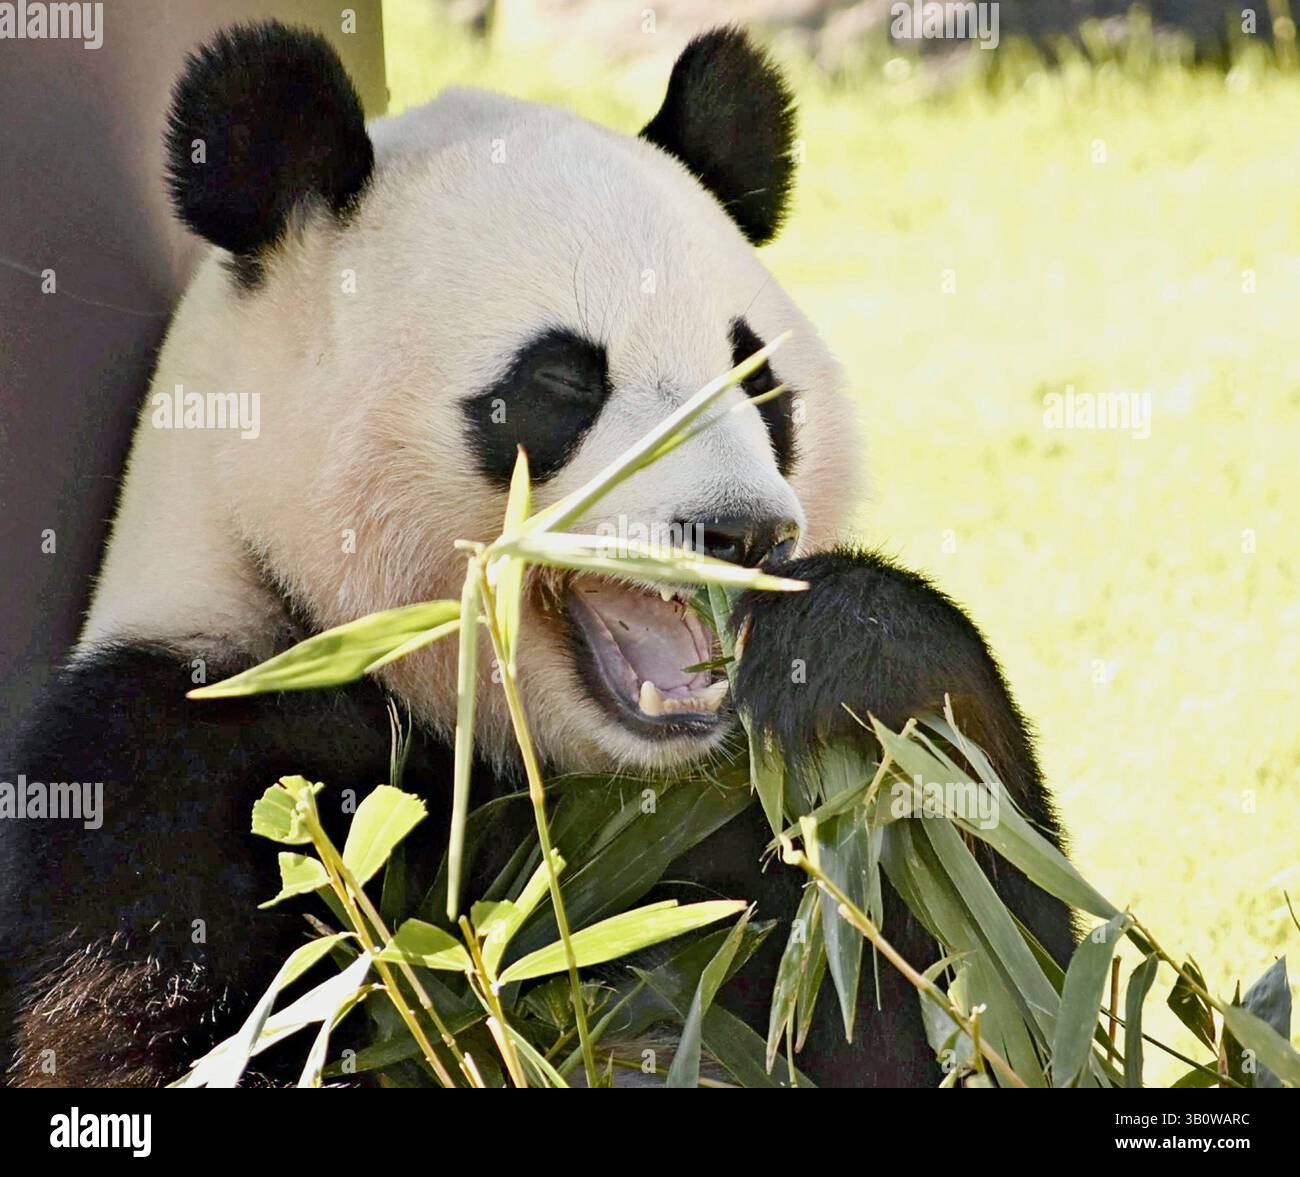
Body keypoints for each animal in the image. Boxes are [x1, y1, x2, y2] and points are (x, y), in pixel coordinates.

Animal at [0, 21, 1073, 1088]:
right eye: (560, 380)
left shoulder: (730, 818)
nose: (741, 532)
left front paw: (849, 645)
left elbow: (972, 988)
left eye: (755, 377)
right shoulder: (175, 772)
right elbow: (151, 1029)